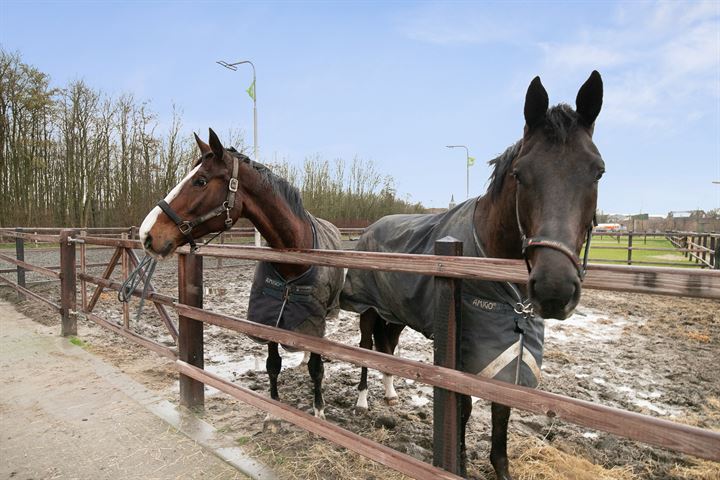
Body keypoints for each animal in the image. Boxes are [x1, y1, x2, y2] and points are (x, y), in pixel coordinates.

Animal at [141, 129, 346, 422]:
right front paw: (273, 411)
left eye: (201, 181)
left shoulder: (313, 320)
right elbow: (273, 364)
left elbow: (317, 368)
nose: (146, 235)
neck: (294, 261)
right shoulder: (269, 318)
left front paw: (318, 411)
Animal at [340, 69, 604, 478]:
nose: (554, 289)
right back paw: (364, 401)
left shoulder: (510, 349)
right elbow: (462, 409)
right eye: (520, 174)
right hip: (367, 310)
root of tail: (370, 228)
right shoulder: (461, 351)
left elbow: (501, 411)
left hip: (395, 314)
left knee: (389, 347)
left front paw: (500, 468)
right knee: (368, 346)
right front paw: (459, 464)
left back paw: (391, 393)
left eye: (597, 172)